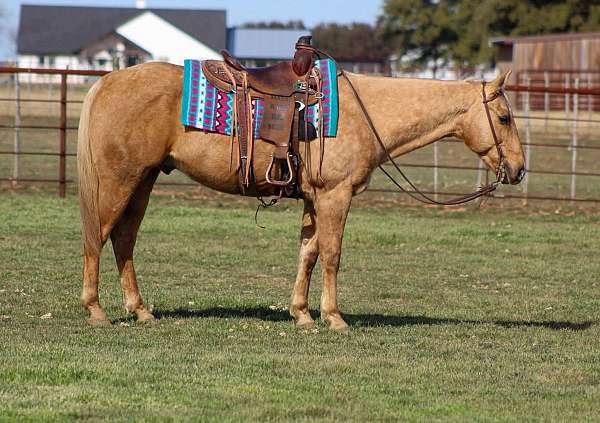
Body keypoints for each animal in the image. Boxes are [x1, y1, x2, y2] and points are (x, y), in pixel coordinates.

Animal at [77, 64, 524, 332]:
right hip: (119, 180)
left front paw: (303, 314)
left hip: (144, 180)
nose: (519, 169)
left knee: (124, 239)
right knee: (97, 237)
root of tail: (107, 81)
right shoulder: (335, 196)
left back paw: (140, 309)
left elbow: (308, 252)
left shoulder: (314, 200)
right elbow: (332, 255)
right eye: (504, 117)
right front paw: (334, 318)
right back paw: (96, 310)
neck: (363, 112)